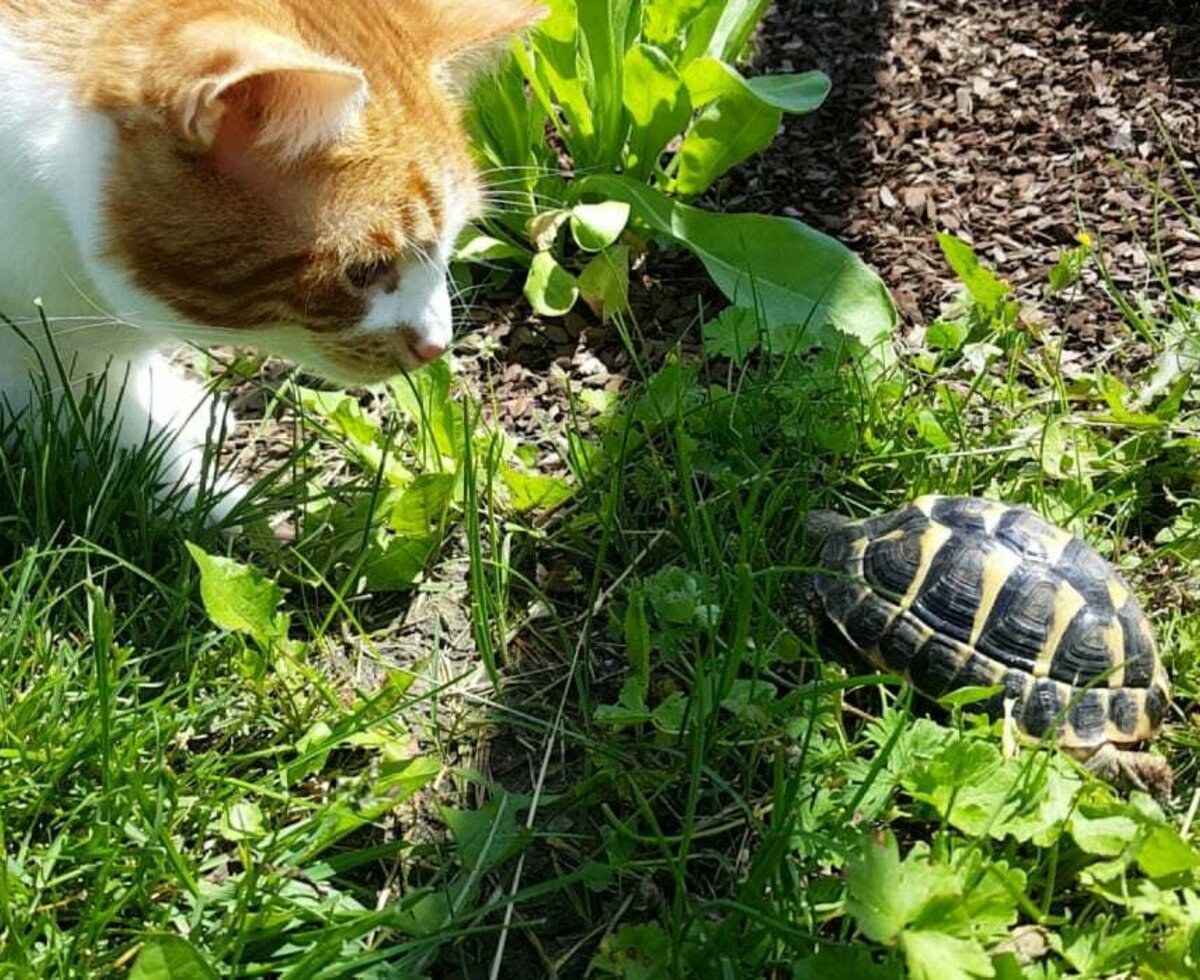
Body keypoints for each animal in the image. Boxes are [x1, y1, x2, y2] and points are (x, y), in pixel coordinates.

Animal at [0, 0, 540, 515]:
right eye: (364, 271)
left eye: (450, 244)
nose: (437, 345)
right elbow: (107, 428)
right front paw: (197, 499)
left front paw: (166, 401)